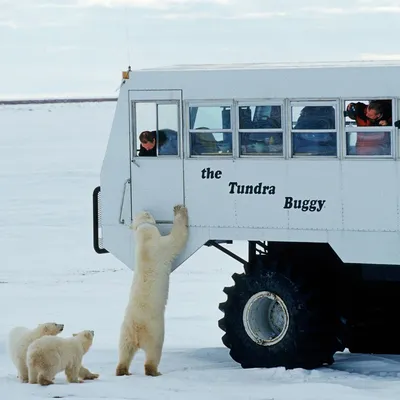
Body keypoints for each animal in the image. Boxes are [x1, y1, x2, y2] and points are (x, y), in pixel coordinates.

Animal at [115, 205, 189, 376]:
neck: (144, 238)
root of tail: (137, 331)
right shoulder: (160, 247)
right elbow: (176, 239)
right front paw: (179, 210)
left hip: (125, 331)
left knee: (124, 351)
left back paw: (122, 370)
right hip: (154, 331)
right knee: (153, 352)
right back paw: (154, 371)